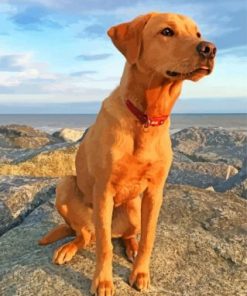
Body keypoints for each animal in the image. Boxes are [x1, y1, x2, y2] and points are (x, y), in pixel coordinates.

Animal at [39, 11, 216, 296]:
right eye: (167, 32)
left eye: (198, 34)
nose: (209, 48)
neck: (145, 117)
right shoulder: (103, 191)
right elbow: (104, 247)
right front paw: (103, 281)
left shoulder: (155, 192)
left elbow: (148, 239)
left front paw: (140, 273)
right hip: (66, 186)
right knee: (86, 235)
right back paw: (69, 248)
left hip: (133, 208)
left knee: (127, 235)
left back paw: (130, 247)